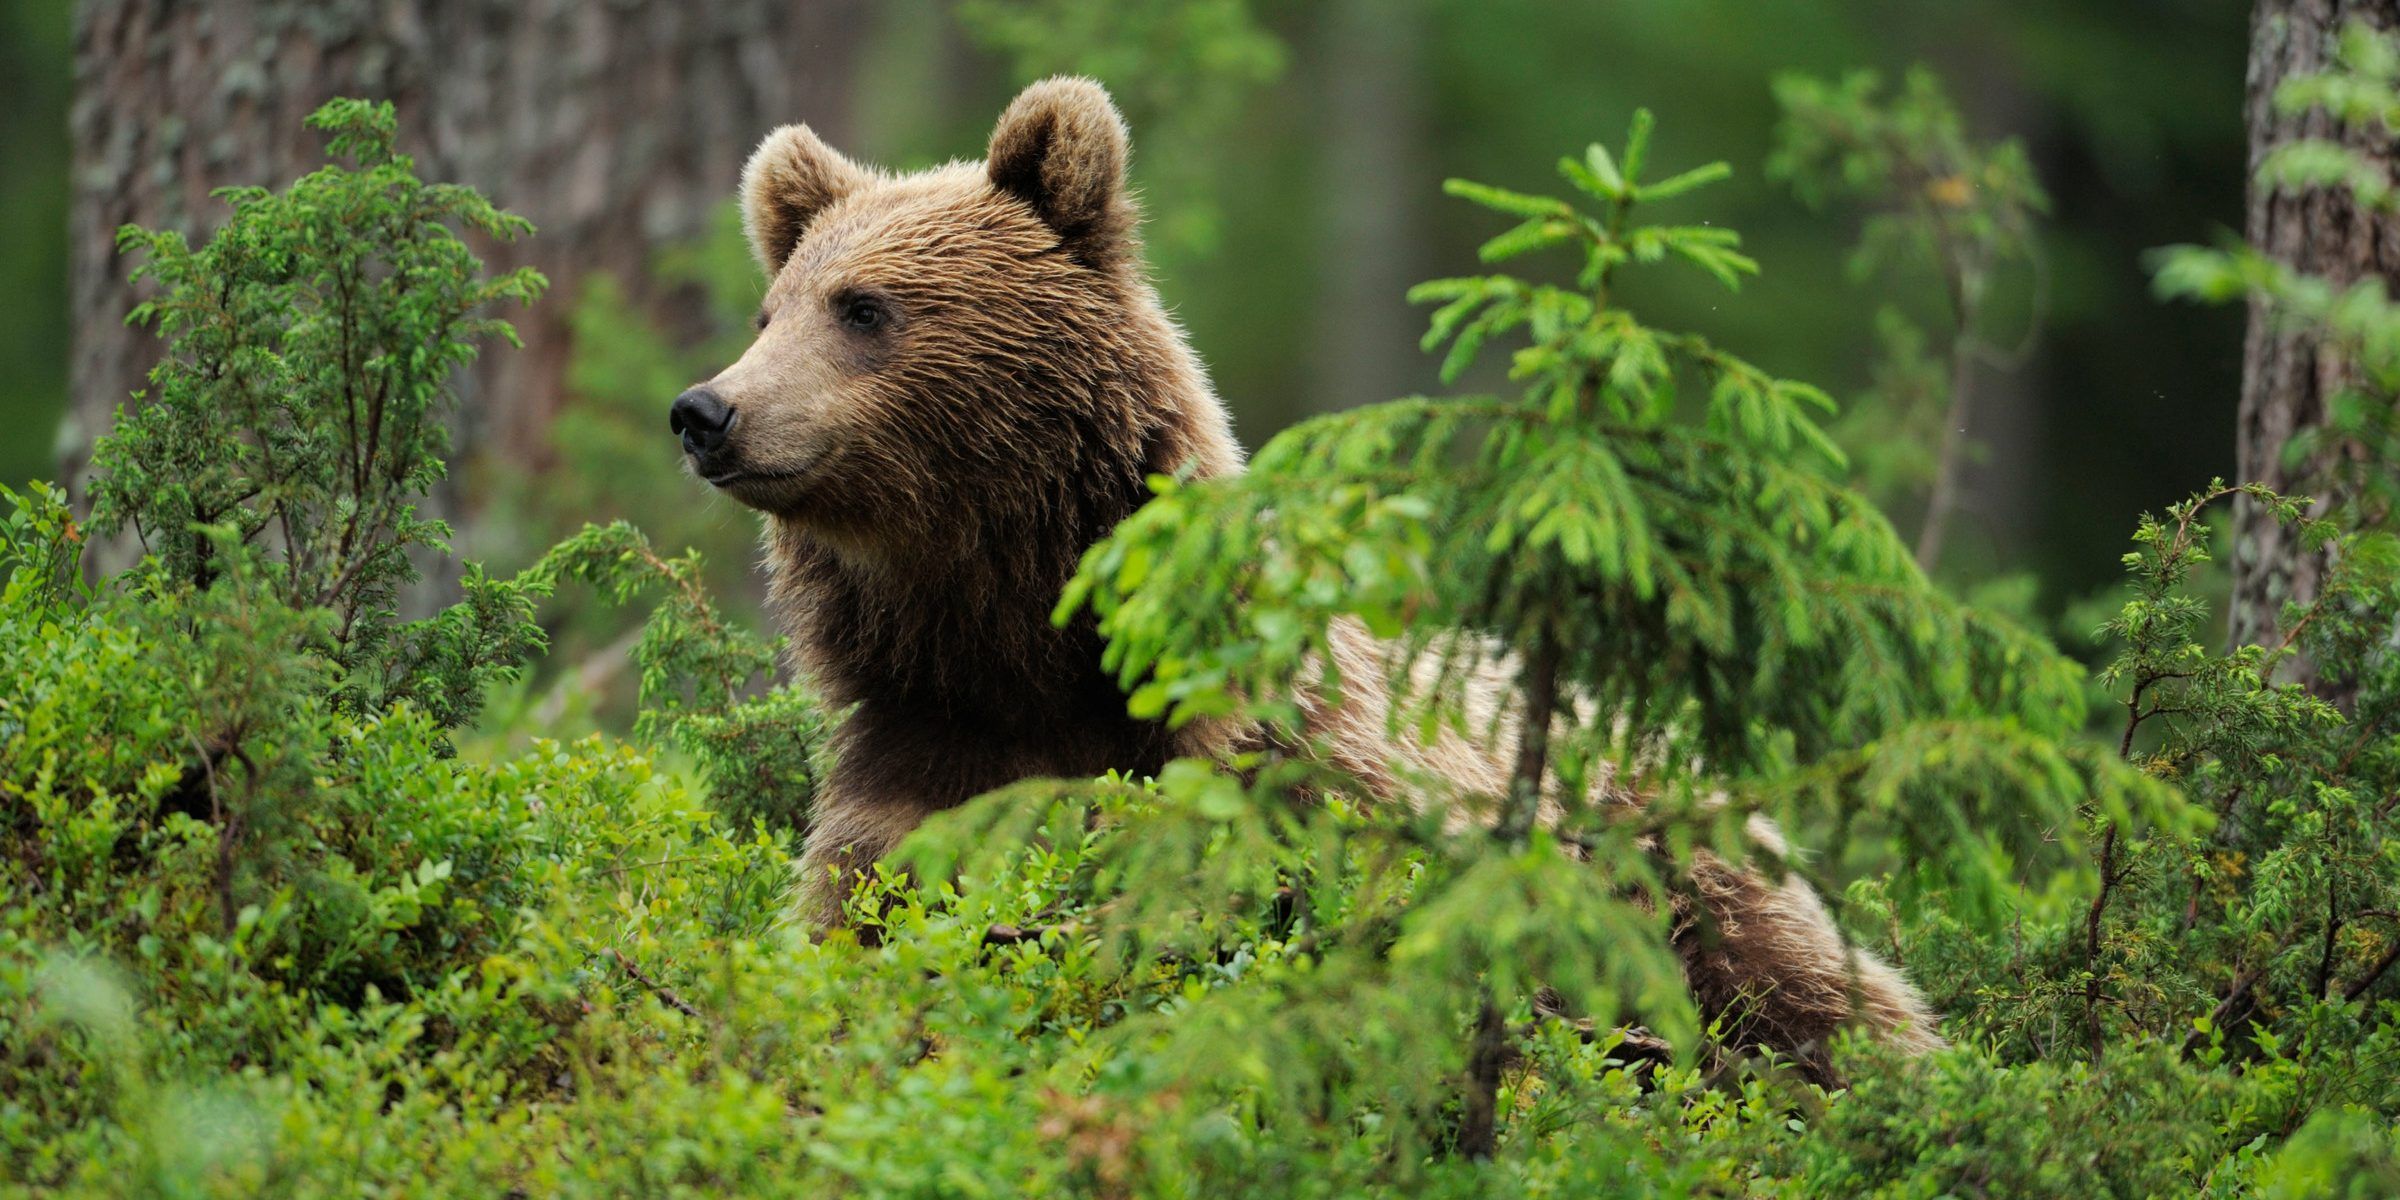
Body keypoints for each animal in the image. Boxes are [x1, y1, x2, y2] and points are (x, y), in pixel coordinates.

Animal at [667, 77, 1939, 1060]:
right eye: (771, 309)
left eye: (863, 307)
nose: (707, 410)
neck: (1027, 642)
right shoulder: (918, 772)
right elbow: (865, 933)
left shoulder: (1290, 775)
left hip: (1680, 872)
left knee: (1819, 1002)